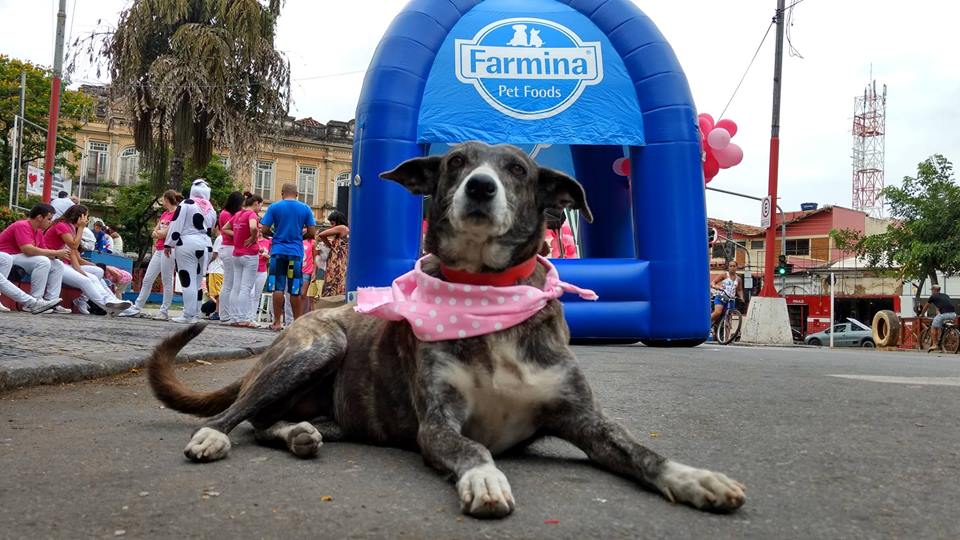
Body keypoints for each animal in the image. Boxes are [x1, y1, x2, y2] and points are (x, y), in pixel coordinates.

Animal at [152, 140, 752, 520]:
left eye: (517, 170)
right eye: (458, 161)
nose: (481, 187)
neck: (487, 290)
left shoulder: (585, 420)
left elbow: (640, 450)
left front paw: (694, 478)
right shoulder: (439, 424)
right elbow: (474, 448)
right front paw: (485, 479)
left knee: (269, 423)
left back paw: (299, 433)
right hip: (319, 346)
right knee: (239, 414)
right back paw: (214, 436)